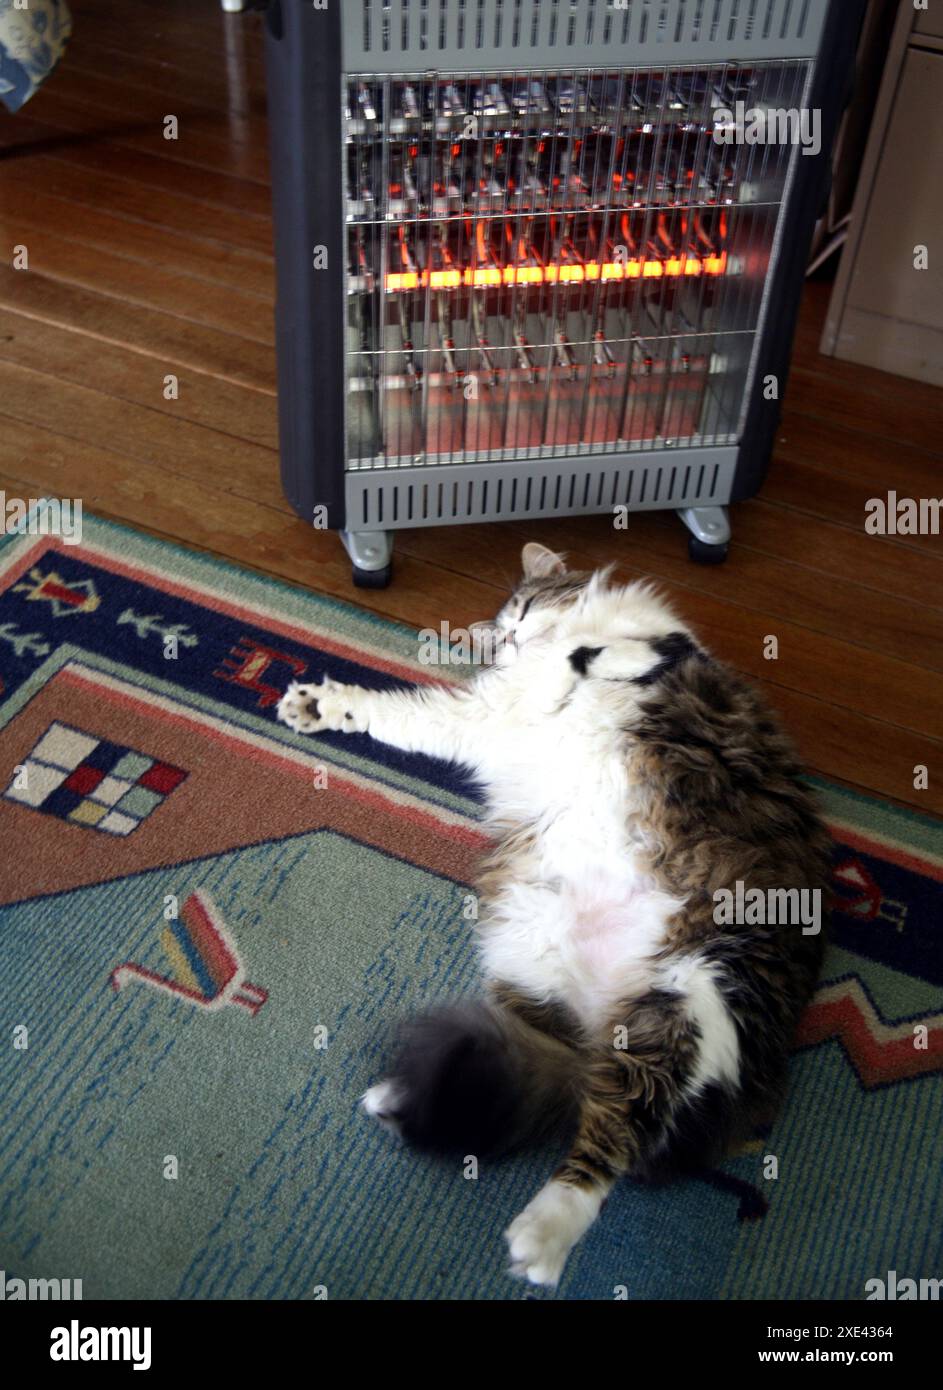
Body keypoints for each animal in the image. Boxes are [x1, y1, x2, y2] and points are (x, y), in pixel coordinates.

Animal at [276, 542, 828, 1289]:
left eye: (526, 606)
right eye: (501, 628)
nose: (509, 634)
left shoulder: (656, 649)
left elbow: (611, 653)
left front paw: (585, 656)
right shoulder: (486, 720)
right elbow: (399, 714)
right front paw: (320, 703)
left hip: (696, 995)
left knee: (613, 1141)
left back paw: (540, 1241)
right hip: (556, 974)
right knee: (573, 1101)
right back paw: (403, 1105)